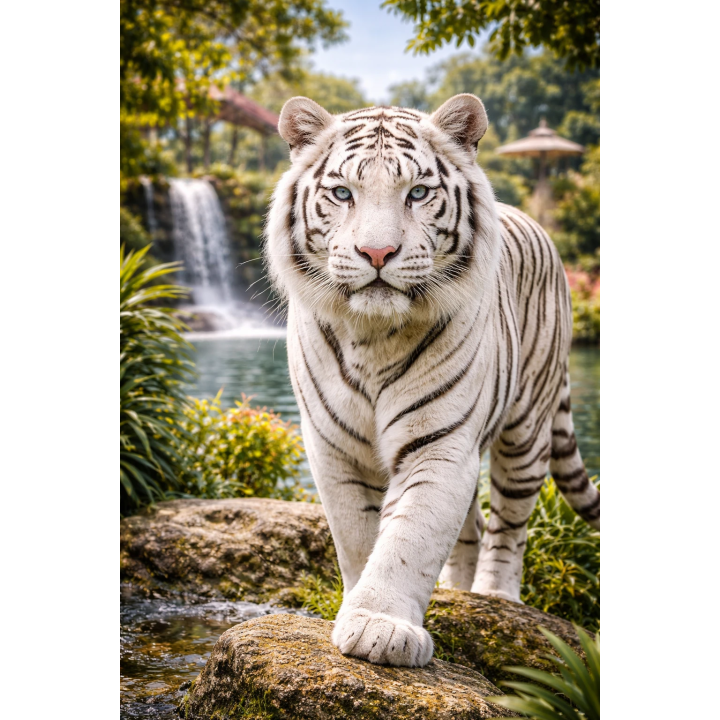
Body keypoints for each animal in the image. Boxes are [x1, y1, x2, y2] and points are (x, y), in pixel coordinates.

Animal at [263, 94, 600, 668]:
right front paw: (362, 610)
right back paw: (458, 592)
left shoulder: (440, 443)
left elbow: (410, 536)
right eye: (342, 193)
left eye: (417, 193)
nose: (377, 254)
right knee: (474, 527)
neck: (372, 336)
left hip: (526, 435)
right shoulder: (334, 447)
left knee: (508, 528)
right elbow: (360, 536)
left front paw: (381, 627)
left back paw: (495, 598)